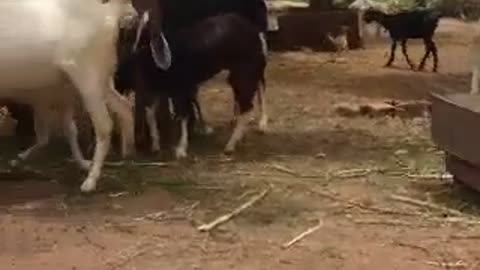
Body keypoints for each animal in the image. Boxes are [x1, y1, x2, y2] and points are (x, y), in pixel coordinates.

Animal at [0, 0, 136, 193]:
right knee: (123, 107)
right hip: (100, 79)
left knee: (103, 125)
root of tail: (111, 12)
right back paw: (127, 154)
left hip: (88, 77)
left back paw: (90, 180)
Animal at [115, 13, 268, 158]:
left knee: (248, 107)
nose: (133, 52)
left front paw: (181, 149)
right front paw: (156, 145)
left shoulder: (181, 90)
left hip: (244, 76)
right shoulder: (164, 90)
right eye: (129, 36)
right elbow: (150, 113)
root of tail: (256, 34)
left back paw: (230, 145)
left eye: (145, 38)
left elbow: (183, 115)